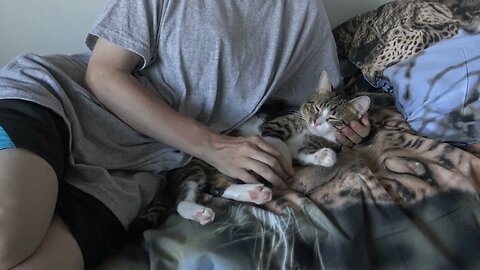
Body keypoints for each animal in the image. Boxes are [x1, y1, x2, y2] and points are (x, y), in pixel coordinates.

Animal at [169, 70, 372, 225]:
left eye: (333, 118)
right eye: (315, 107)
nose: (315, 122)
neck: (308, 131)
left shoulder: (308, 144)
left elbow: (301, 153)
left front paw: (323, 157)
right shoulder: (273, 126)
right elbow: (279, 144)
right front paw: (283, 161)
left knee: (217, 186)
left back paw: (254, 193)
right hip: (197, 165)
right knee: (184, 196)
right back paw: (196, 211)